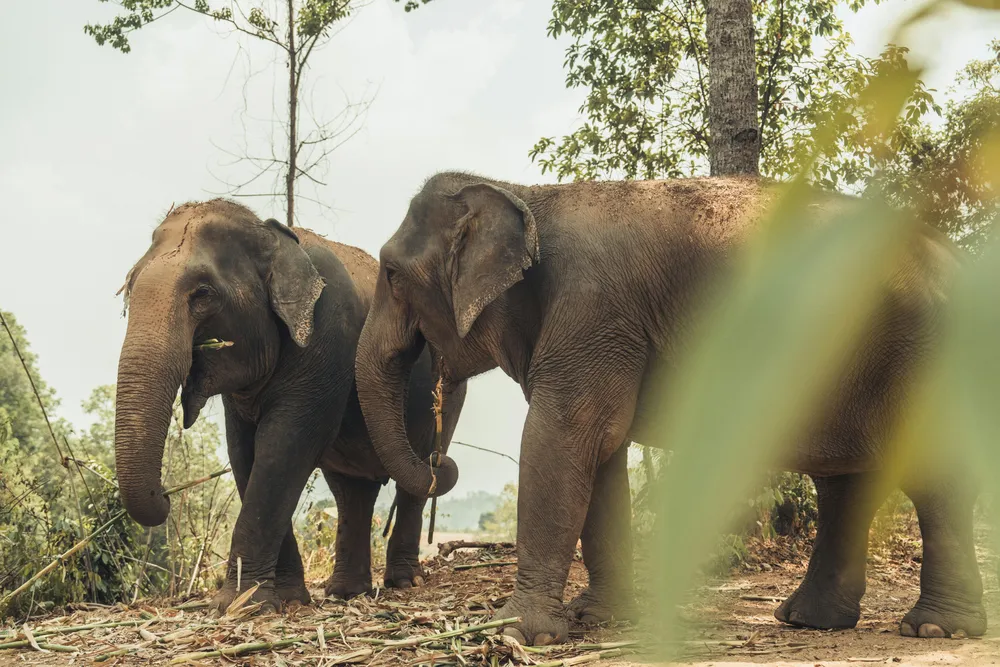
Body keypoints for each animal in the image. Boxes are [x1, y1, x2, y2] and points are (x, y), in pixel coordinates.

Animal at [114, 198, 465, 613]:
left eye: (202, 294)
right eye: (129, 286)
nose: (167, 495)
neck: (272, 236)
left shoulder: (327, 334)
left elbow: (284, 446)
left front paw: (240, 606)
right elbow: (245, 453)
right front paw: (288, 600)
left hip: (446, 392)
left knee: (418, 473)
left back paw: (404, 582)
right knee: (352, 491)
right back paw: (347, 592)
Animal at [354, 172, 986, 645]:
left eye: (392, 273)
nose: (443, 462)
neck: (527, 194)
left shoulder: (594, 313)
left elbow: (563, 438)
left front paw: (518, 632)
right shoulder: (599, 333)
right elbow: (601, 452)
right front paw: (597, 617)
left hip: (925, 353)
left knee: (931, 476)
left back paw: (934, 629)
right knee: (844, 481)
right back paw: (809, 620)